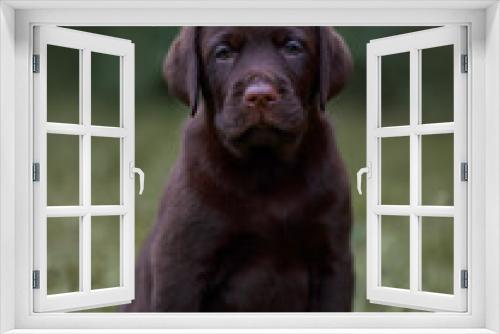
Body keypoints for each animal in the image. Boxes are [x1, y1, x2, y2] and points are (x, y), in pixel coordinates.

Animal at [123, 27, 354, 312]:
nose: (260, 95)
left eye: (293, 47)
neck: (266, 166)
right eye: (223, 52)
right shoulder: (180, 264)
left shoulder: (333, 261)